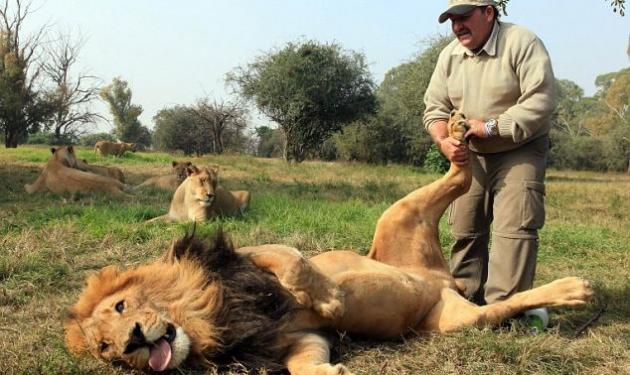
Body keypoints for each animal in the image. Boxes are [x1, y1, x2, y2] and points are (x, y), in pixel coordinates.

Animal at [66, 111, 596, 374]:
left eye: (119, 309)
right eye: (106, 350)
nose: (132, 341)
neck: (210, 316)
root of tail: (441, 279)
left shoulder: (244, 256)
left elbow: (290, 258)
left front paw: (331, 298)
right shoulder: (300, 338)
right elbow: (305, 362)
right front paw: (331, 371)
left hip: (397, 214)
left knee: (460, 173)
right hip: (453, 321)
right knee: (496, 298)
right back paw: (570, 290)